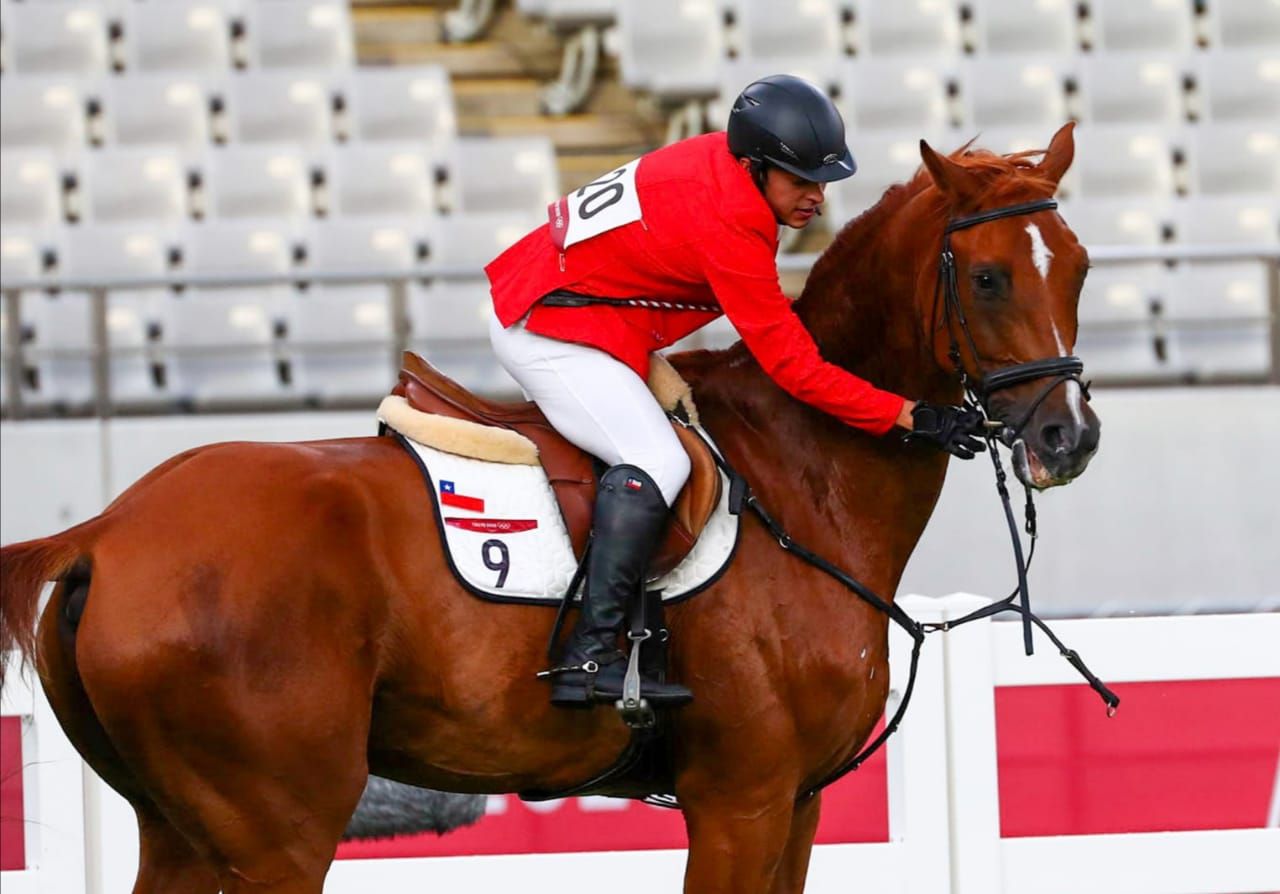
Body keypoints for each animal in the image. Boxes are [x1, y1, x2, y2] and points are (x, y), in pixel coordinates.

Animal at [0, 121, 1100, 886]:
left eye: (1081, 269)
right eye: (990, 277)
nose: (1069, 438)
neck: (807, 475)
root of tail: (110, 530)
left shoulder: (795, 807)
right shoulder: (738, 803)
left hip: (179, 830)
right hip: (281, 831)